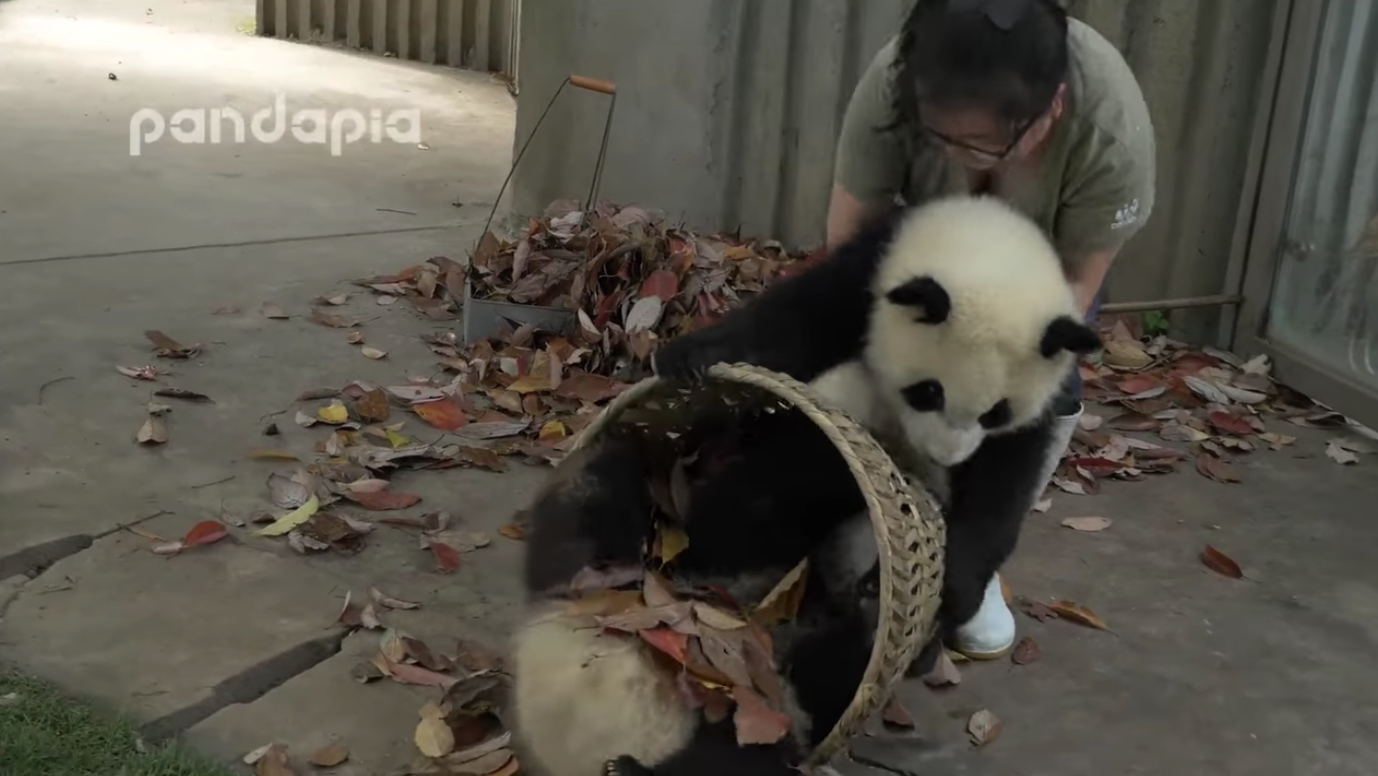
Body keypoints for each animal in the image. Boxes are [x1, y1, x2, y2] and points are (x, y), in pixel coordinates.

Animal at [652, 194, 1102, 668]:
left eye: (995, 413)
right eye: (929, 391)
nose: (944, 457)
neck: (989, 242)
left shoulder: (1035, 408)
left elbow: (1002, 488)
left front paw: (957, 589)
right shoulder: (867, 274)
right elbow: (792, 321)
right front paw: (689, 358)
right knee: (766, 493)